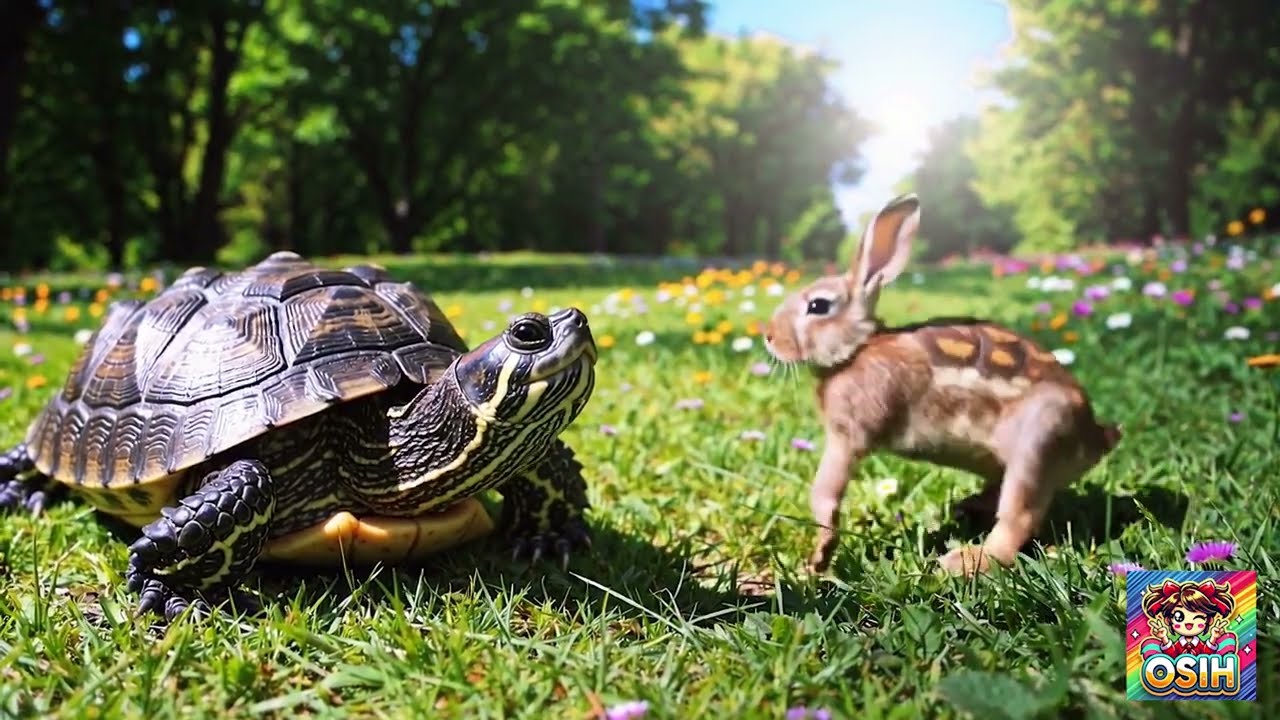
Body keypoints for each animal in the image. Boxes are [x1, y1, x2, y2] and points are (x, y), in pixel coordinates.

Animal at [763, 193, 1122, 576]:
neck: (858, 348)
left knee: (1018, 517)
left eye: (818, 305)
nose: (768, 336)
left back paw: (964, 560)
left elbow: (826, 490)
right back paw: (966, 508)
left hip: (1039, 438)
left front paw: (819, 557)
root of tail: (1098, 436)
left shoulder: (850, 435)